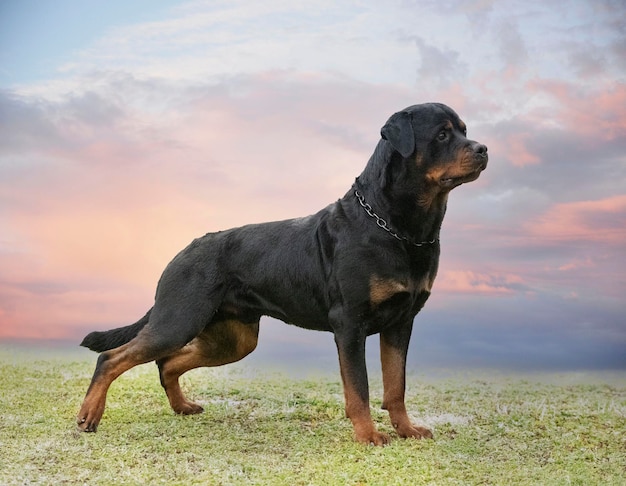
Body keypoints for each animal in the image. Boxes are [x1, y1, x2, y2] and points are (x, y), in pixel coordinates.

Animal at [78, 101, 486, 444]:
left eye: (465, 130)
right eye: (443, 135)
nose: (483, 149)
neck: (396, 225)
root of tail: (183, 252)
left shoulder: (401, 322)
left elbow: (395, 385)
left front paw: (406, 429)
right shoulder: (350, 324)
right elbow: (361, 389)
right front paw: (369, 435)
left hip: (233, 338)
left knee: (167, 362)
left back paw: (181, 407)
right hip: (179, 318)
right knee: (112, 358)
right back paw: (89, 416)